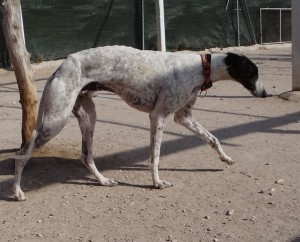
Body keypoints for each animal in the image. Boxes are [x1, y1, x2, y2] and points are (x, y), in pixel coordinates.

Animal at [11, 45, 268, 200]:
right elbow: (155, 157)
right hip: (54, 121)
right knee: (21, 155)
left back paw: (103, 181)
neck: (199, 67)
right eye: (253, 73)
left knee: (86, 156)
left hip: (88, 117)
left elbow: (212, 138)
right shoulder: (158, 116)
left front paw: (226, 158)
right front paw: (157, 183)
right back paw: (17, 191)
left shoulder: (183, 117)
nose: (266, 93)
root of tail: (61, 67)